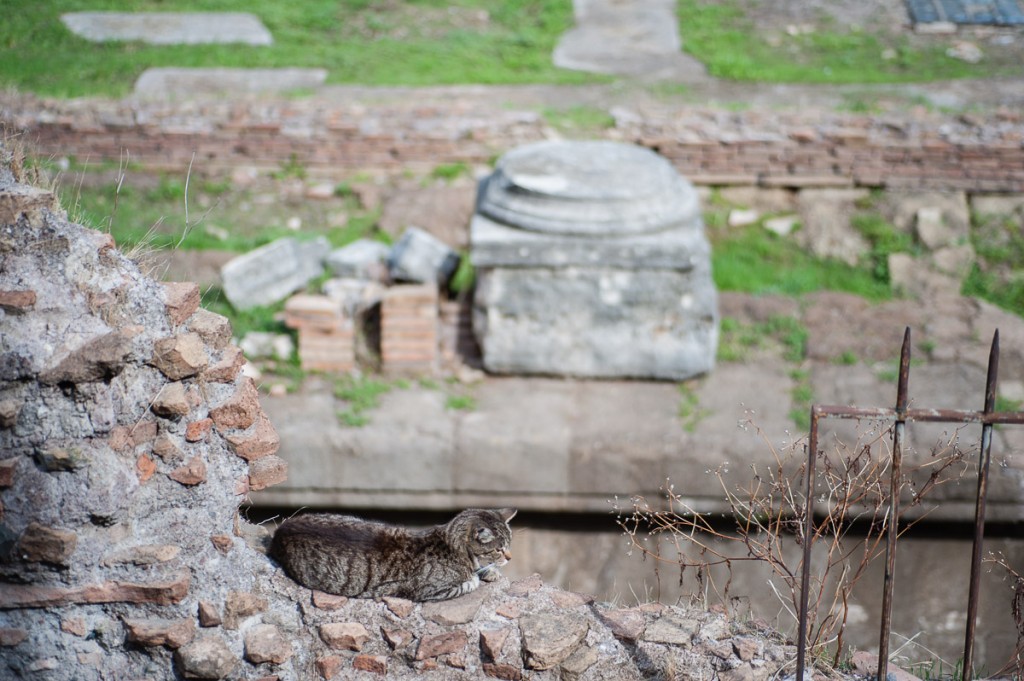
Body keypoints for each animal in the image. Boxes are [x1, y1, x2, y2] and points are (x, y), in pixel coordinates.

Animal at [268, 503, 516, 602]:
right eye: (499, 549)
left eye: (510, 544)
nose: (510, 557)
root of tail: (281, 530)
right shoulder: (429, 590)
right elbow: (469, 582)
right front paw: (478, 575)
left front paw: (490, 572)